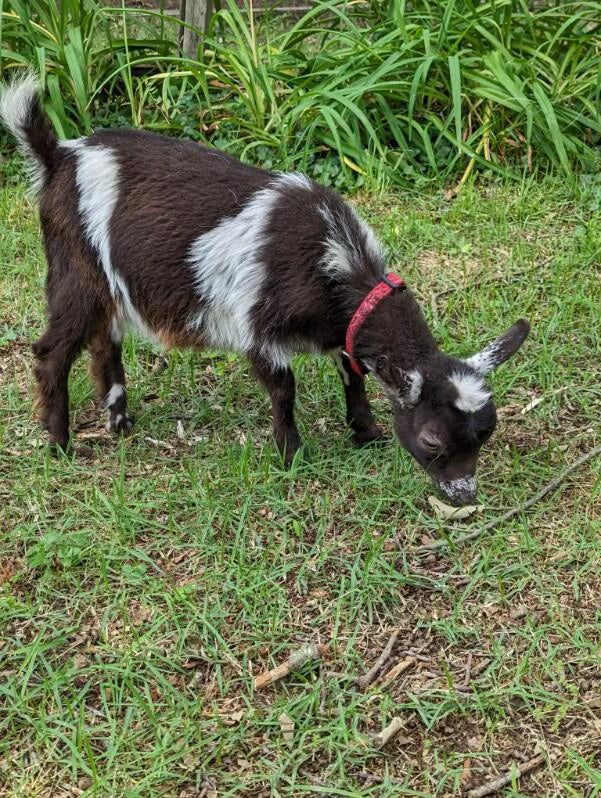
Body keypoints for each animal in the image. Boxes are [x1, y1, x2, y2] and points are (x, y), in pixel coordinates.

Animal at [0, 72, 528, 504]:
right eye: (433, 440)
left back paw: (120, 423)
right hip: (75, 271)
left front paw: (367, 432)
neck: (336, 261)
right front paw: (292, 453)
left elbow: (352, 373)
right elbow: (284, 388)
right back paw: (60, 444)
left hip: (108, 285)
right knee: (52, 350)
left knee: (104, 343)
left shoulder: (341, 330)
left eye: (485, 434)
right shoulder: (257, 327)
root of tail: (59, 156)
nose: (464, 495)